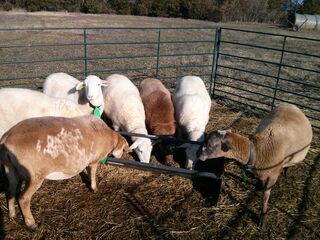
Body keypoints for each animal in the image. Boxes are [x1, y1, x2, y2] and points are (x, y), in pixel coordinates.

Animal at [0, 115, 130, 230]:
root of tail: (6, 139)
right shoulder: (94, 160)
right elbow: (92, 173)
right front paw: (94, 188)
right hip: (34, 175)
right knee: (23, 198)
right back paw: (31, 224)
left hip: (10, 170)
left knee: (10, 190)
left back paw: (12, 215)